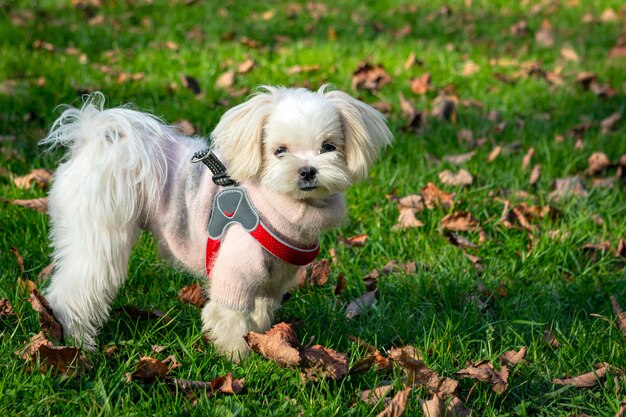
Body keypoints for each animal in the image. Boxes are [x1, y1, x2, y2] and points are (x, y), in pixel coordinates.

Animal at [40, 84, 390, 358]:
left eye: (328, 147)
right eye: (280, 151)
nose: (307, 171)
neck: (274, 206)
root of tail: (91, 139)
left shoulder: (272, 281)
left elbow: (260, 313)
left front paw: (260, 340)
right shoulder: (234, 274)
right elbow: (229, 318)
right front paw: (240, 359)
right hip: (98, 239)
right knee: (73, 293)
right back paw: (80, 344)